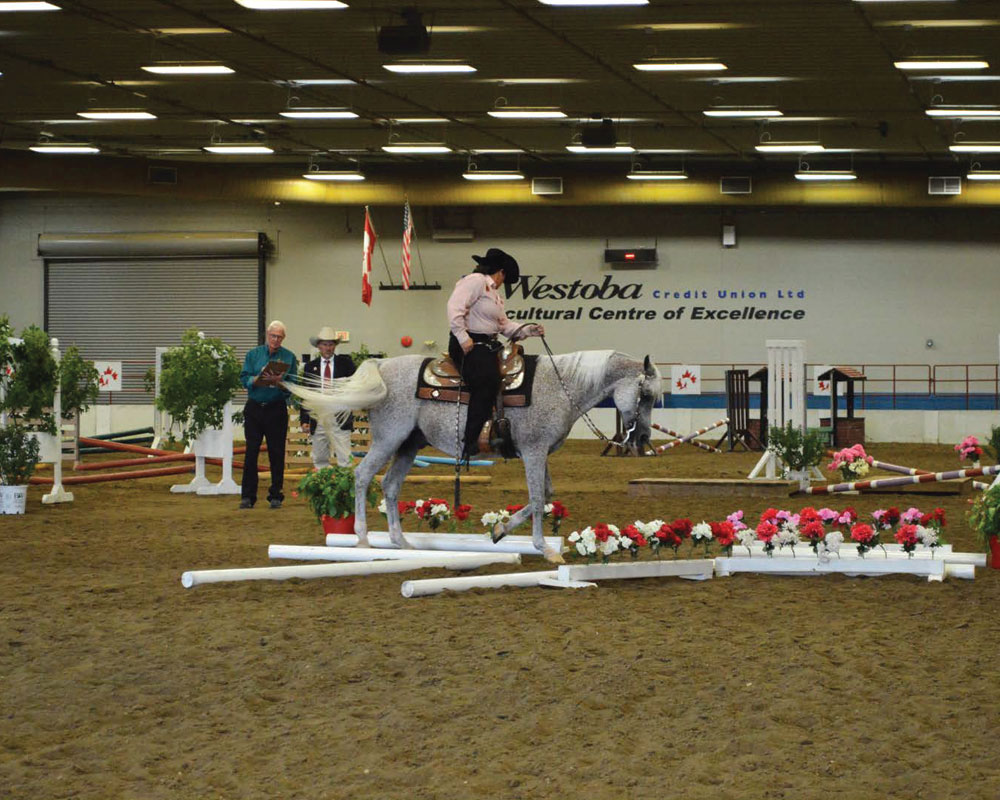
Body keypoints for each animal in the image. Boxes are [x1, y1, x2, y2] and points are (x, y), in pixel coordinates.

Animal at [288, 350, 664, 564]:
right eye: (645, 394)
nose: (644, 438)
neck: (559, 386)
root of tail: (381, 366)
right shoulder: (533, 450)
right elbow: (537, 497)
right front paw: (546, 549)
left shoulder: (540, 453)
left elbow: (545, 495)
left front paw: (499, 531)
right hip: (387, 439)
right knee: (363, 476)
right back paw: (364, 539)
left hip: (408, 446)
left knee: (391, 487)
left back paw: (401, 541)